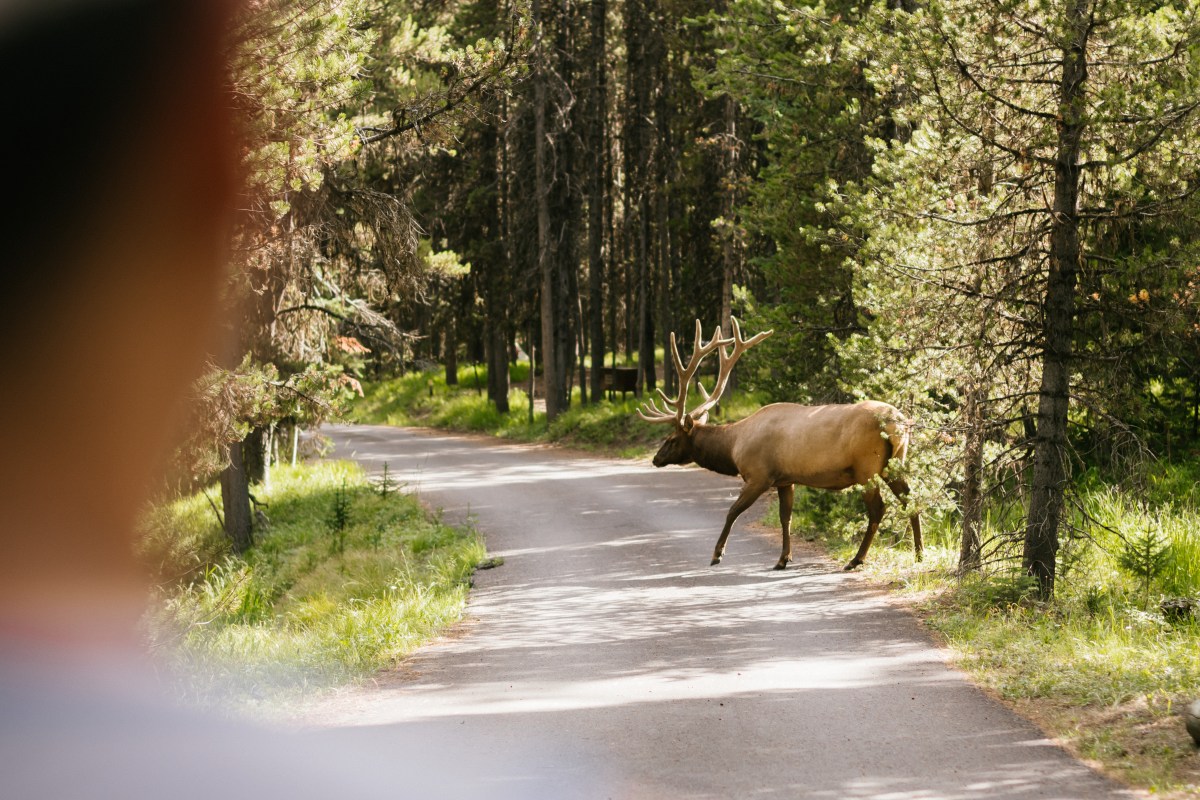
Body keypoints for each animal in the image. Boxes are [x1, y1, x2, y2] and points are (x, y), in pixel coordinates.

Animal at [643, 316, 921, 568]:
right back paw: (919, 554)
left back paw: (856, 559)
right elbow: (785, 518)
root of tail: (897, 423)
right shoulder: (786, 480)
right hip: (894, 463)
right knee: (910, 499)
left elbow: (733, 511)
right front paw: (783, 558)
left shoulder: (759, 475)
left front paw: (717, 554)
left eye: (671, 439)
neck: (733, 448)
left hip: (866, 468)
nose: (655, 458)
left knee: (878, 509)